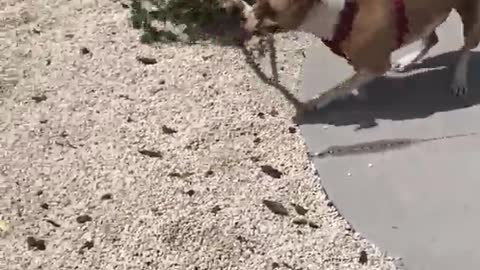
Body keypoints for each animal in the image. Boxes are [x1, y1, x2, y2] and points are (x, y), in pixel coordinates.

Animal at [225, 0, 480, 110]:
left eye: (265, 9)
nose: (242, 16)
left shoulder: (376, 63)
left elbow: (341, 86)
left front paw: (320, 101)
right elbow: (353, 78)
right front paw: (358, 92)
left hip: (470, 14)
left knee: (467, 47)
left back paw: (459, 80)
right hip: (428, 15)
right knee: (432, 38)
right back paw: (409, 60)